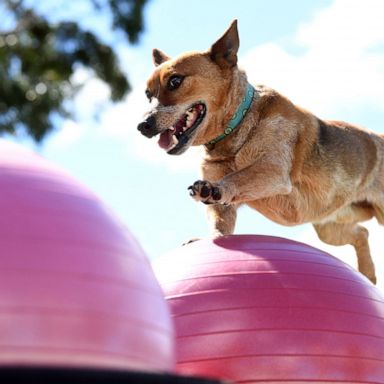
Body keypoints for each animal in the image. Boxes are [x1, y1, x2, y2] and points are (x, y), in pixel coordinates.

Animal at [138, 20, 384, 284]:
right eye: (148, 94)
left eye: (175, 81)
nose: (143, 126)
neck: (235, 133)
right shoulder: (224, 207)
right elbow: (219, 225)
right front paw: (207, 235)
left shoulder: (273, 171)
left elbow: (239, 177)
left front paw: (215, 188)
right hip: (328, 226)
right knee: (362, 232)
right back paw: (368, 273)